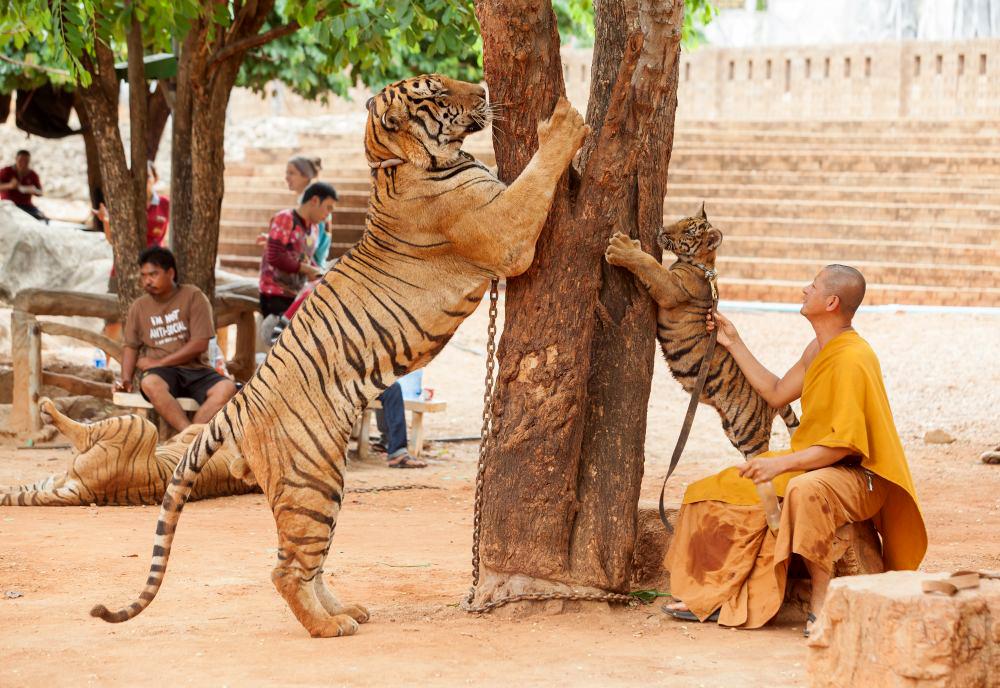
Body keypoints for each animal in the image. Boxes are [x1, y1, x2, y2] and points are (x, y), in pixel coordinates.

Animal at [0, 398, 258, 506]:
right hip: (50, 481)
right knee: (14, 489)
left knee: (84, 433)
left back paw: (47, 407)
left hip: (139, 423)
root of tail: (89, 494)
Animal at [90, 76, 588, 640]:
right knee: (287, 569)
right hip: (314, 481)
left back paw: (345, 611)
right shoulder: (505, 233)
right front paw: (564, 123)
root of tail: (240, 400)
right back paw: (329, 628)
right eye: (438, 93)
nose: (481, 87)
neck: (391, 161)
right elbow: (534, 178)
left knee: (307, 561)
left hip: (321, 484)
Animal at [604, 204, 800, 454]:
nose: (662, 229)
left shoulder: (671, 287)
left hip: (750, 434)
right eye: (680, 220)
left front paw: (622, 247)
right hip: (733, 431)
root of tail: (774, 401)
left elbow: (649, 263)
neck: (702, 265)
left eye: (689, 232)